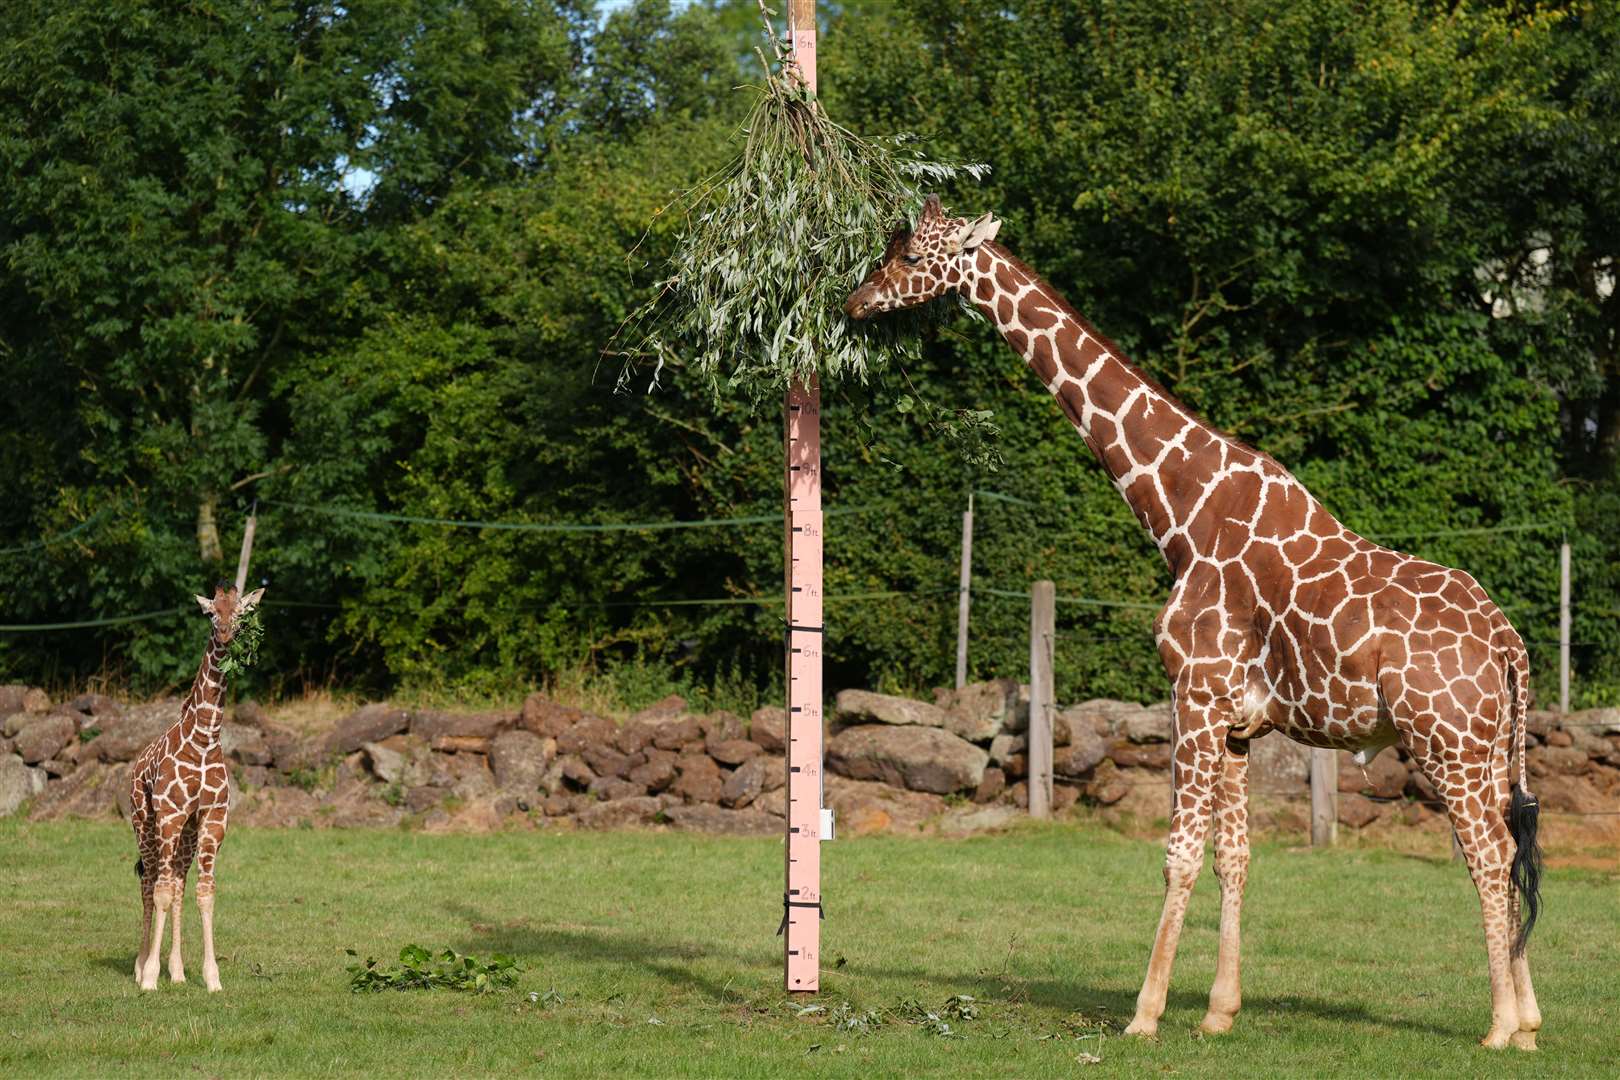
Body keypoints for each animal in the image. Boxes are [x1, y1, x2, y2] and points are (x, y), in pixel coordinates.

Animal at [129, 586, 264, 990]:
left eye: (240, 612)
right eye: (211, 613)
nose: (227, 635)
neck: (204, 738)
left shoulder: (211, 820)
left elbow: (204, 894)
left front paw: (211, 978)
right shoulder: (170, 816)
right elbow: (158, 892)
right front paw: (149, 978)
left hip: (186, 835)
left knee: (177, 884)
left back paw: (176, 971)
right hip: (144, 823)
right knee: (151, 883)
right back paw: (141, 966)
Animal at [848, 194, 1542, 1049]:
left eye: (911, 256)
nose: (854, 303)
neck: (1179, 510)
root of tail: (1508, 640)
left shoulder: (1194, 693)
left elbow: (1177, 854)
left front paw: (1144, 1014)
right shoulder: (1239, 722)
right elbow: (1233, 857)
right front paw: (1218, 1011)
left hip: (1444, 738)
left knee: (1487, 850)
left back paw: (1498, 1028)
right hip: (1488, 744)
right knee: (1509, 843)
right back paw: (1531, 1021)